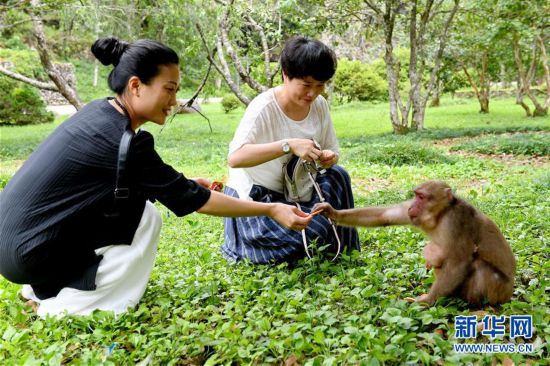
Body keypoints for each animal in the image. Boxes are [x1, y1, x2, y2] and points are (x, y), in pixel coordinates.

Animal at [314, 181, 516, 306]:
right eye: (415, 196)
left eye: (422, 197)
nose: (412, 206)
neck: (440, 216)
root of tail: (510, 291)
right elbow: (384, 215)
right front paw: (331, 212)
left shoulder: (458, 220)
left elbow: (458, 263)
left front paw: (427, 301)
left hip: (499, 291)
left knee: (478, 266)